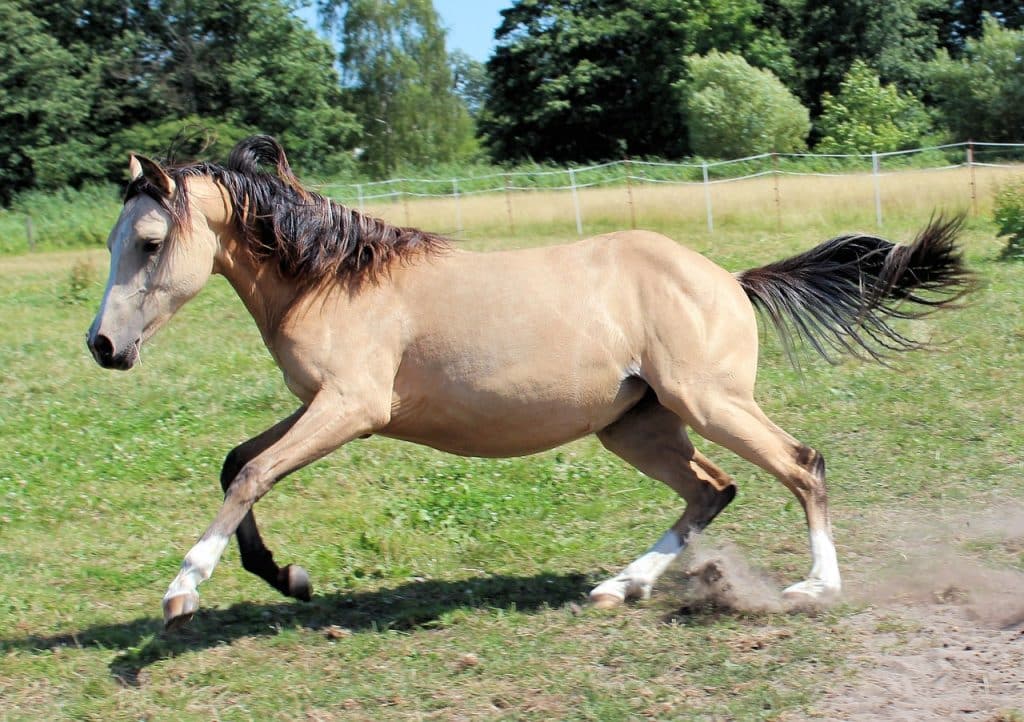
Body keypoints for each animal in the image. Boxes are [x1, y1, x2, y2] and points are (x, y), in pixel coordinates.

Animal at [86, 136, 966, 630]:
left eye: (151, 241)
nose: (103, 346)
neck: (333, 280)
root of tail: (730, 279)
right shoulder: (317, 407)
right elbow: (237, 463)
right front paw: (288, 578)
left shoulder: (349, 408)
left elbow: (255, 473)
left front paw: (183, 591)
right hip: (637, 425)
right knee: (711, 489)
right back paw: (619, 586)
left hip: (709, 403)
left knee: (801, 465)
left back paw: (814, 588)